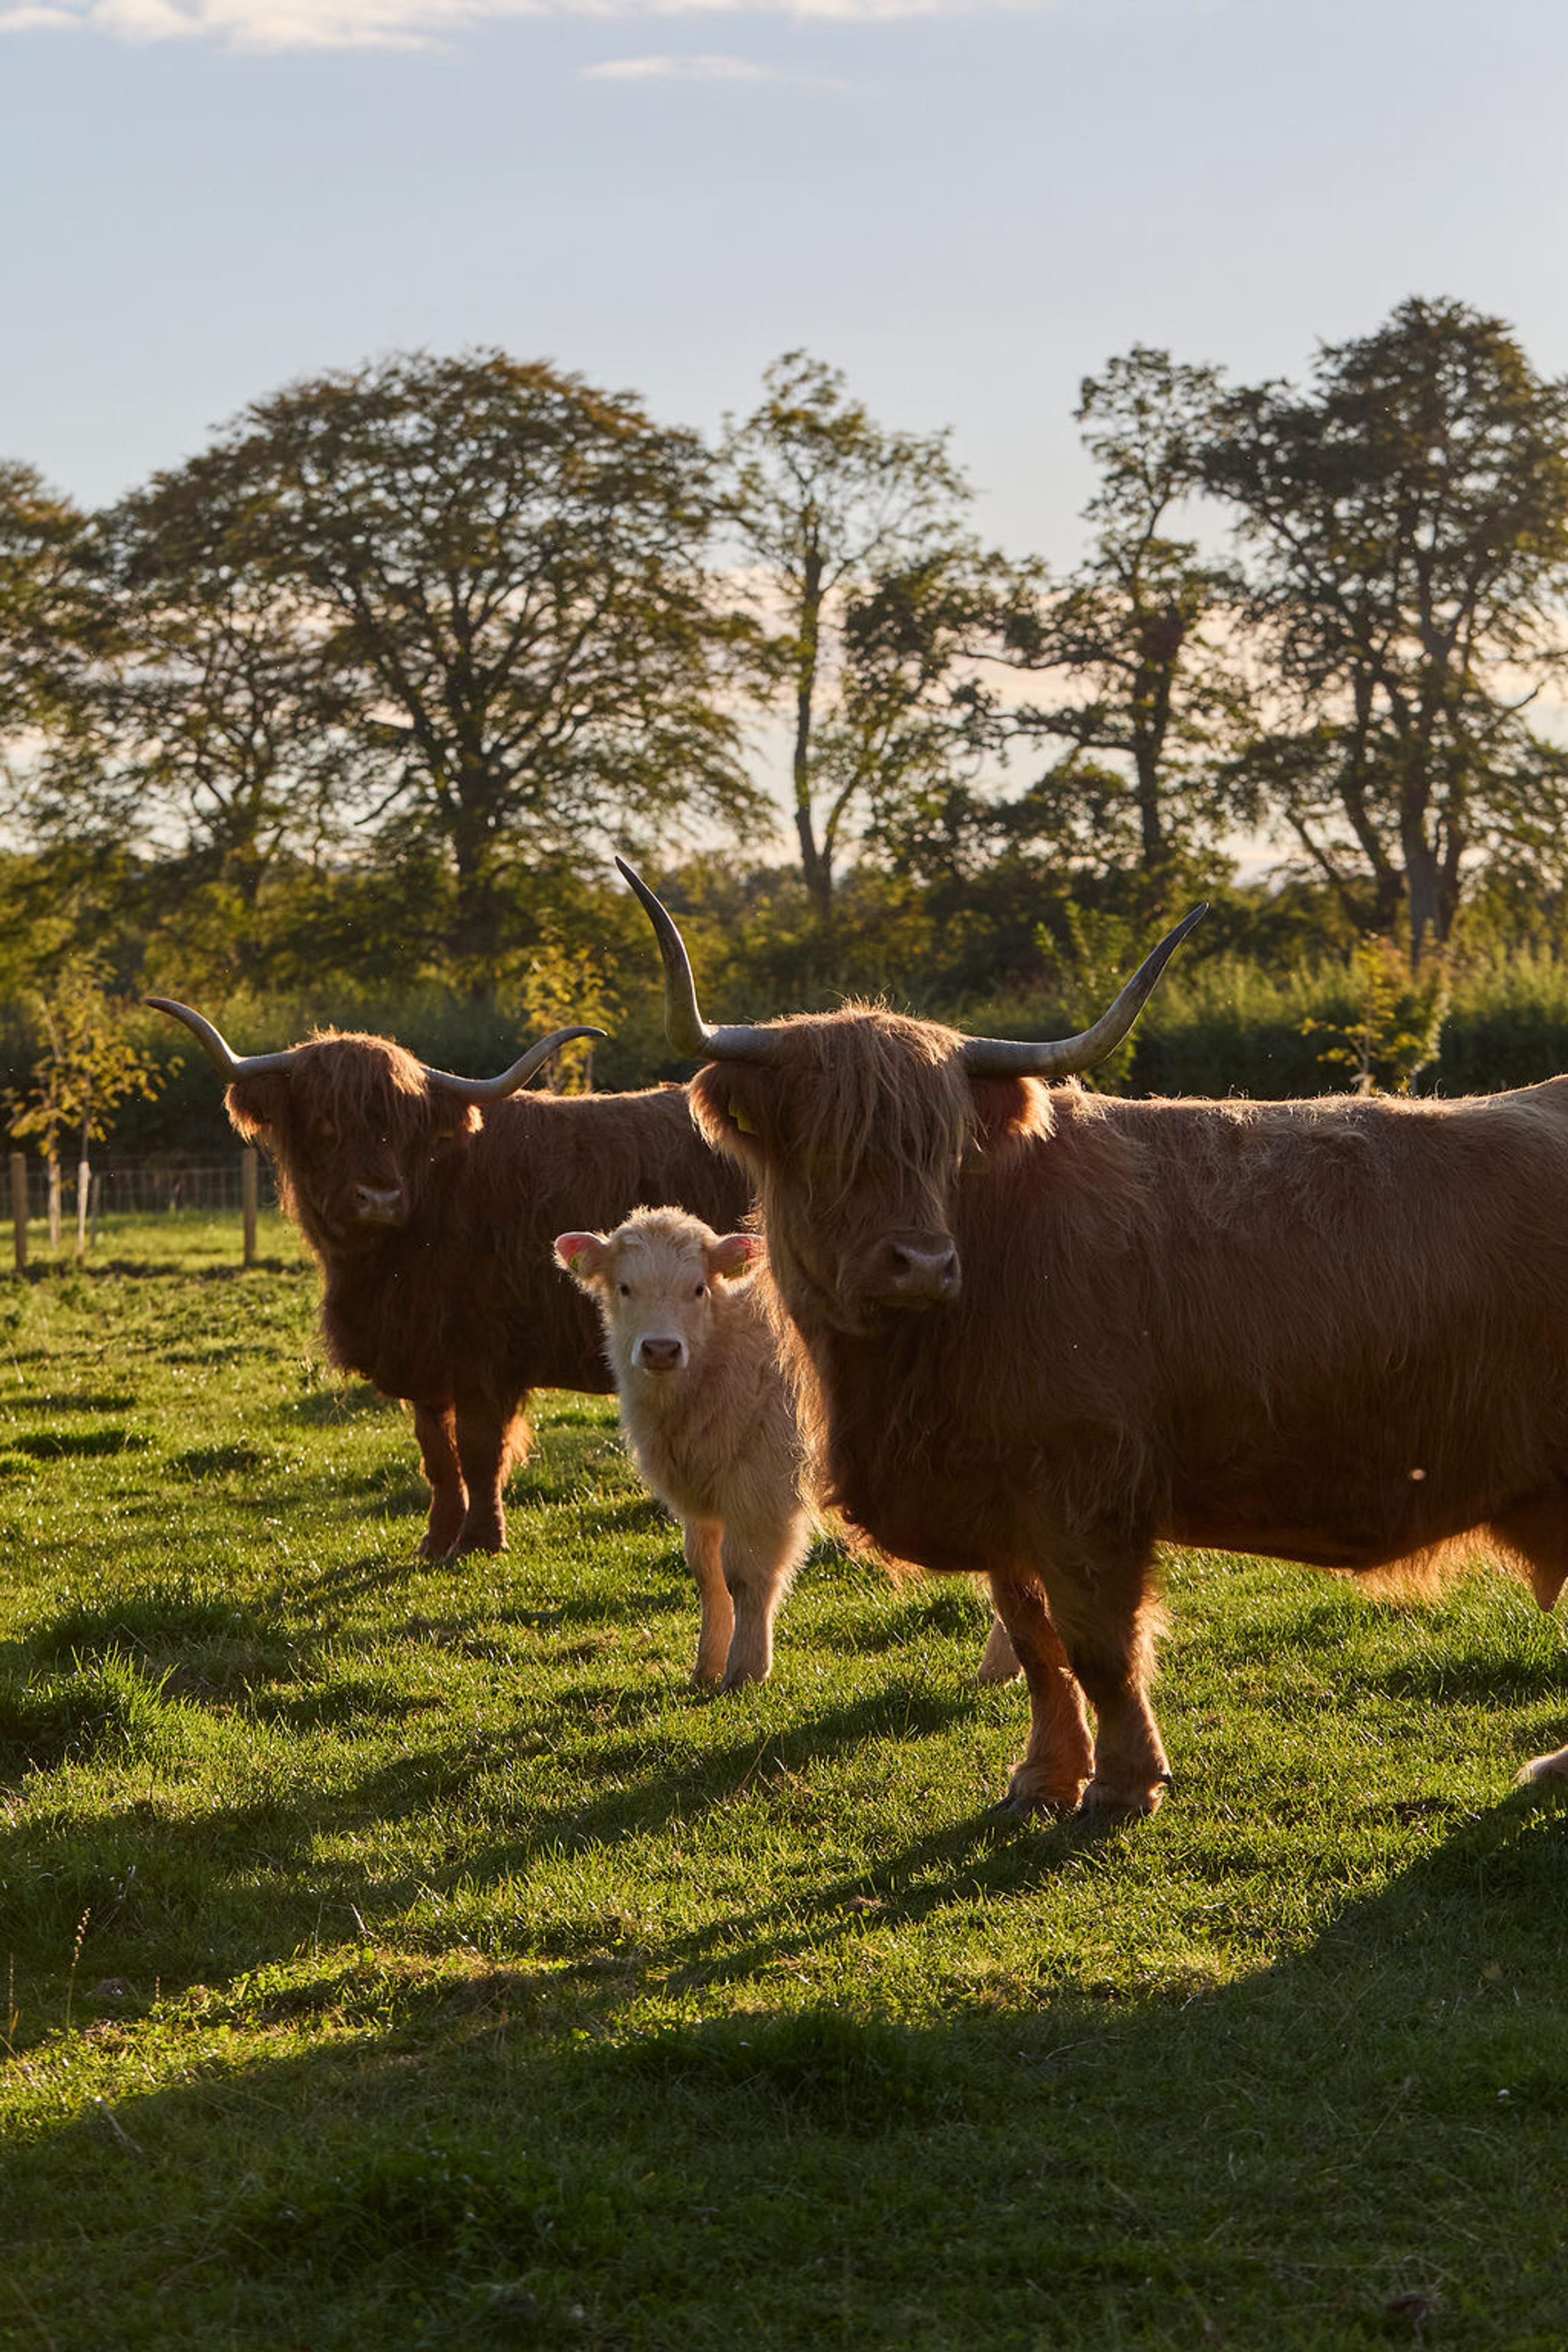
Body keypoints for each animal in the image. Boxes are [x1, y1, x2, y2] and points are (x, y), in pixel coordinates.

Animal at [146, 996, 752, 1558]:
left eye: (405, 1128)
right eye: (324, 1123)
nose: (379, 1198)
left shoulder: (483, 1356)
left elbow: (480, 1452)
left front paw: (480, 1540)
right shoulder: (422, 1359)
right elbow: (437, 1454)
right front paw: (436, 1540)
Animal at [555, 1207, 811, 1688]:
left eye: (698, 1288)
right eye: (625, 1287)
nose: (661, 1349)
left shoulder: (764, 1489)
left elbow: (745, 1576)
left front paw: (747, 1668)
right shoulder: (702, 1501)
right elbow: (708, 1574)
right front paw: (707, 1666)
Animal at [617, 856, 1568, 1818]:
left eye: (942, 1145)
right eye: (826, 1145)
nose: (922, 1263)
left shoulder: (1086, 1487)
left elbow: (1100, 1646)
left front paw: (1122, 1782)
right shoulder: (1000, 1499)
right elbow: (1036, 1646)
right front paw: (1043, 1778)